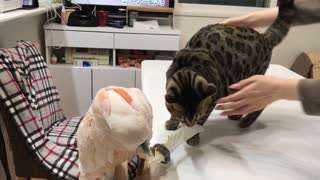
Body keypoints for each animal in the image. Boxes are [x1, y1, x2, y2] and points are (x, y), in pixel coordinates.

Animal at [165, 0, 296, 146]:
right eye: (183, 118)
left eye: (196, 117)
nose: (189, 124)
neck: (188, 64)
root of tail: (264, 37)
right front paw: (172, 121)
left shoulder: (213, 98)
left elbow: (202, 121)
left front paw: (193, 135)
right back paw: (237, 115)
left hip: (250, 79)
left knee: (261, 102)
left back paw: (246, 121)